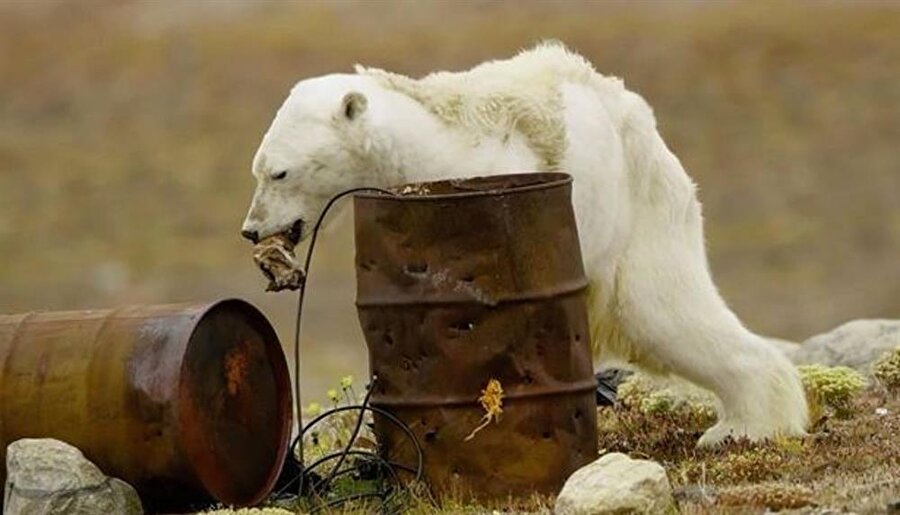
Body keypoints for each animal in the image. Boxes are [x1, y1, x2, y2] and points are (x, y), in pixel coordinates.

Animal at [239, 42, 808, 446]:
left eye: (280, 171)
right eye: (258, 169)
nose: (250, 229)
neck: (425, 145)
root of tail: (640, 121)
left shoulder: (494, 175)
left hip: (636, 215)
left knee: (664, 312)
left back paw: (745, 426)